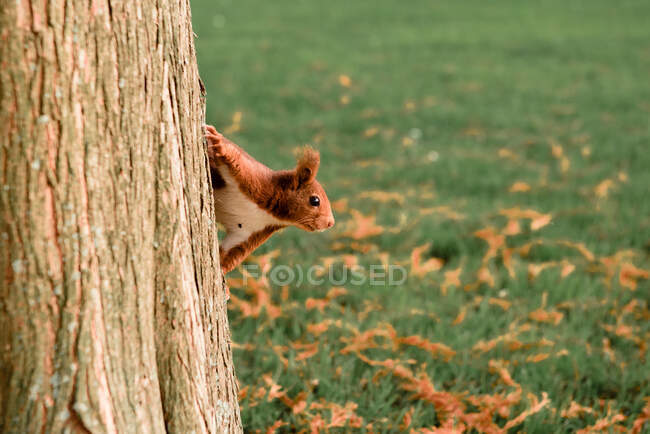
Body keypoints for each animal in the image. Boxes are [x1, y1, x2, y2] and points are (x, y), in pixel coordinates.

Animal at [204, 125, 334, 272]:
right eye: (315, 200)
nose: (331, 223)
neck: (268, 213)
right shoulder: (255, 180)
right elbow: (236, 162)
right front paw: (219, 143)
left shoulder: (249, 230)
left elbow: (234, 252)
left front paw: (221, 271)